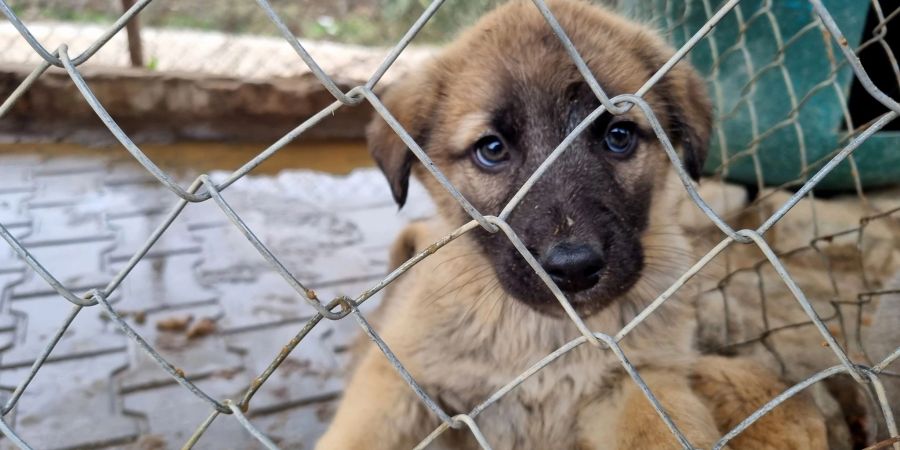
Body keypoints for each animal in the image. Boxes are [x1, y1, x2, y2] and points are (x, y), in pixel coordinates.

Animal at [318, 1, 828, 448]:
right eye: (492, 149)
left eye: (619, 136)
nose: (574, 268)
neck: (551, 336)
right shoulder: (397, 384)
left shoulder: (638, 382)